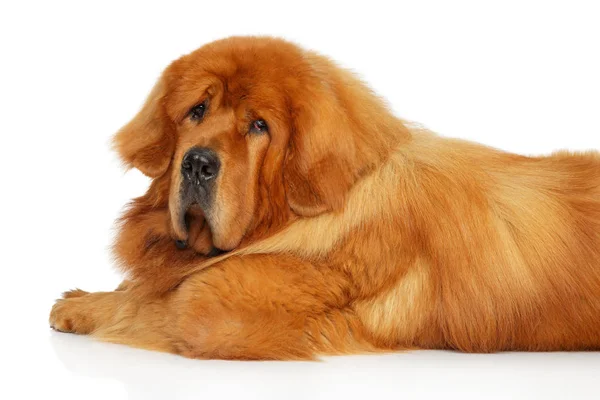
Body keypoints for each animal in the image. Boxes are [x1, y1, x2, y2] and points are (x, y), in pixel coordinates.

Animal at [48, 36, 600, 360]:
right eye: (197, 110)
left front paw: (87, 307)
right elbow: (148, 286)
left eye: (259, 126)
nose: (199, 163)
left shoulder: (220, 306)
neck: (285, 218)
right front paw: (87, 297)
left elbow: (168, 299)